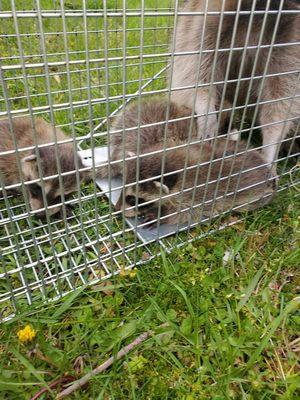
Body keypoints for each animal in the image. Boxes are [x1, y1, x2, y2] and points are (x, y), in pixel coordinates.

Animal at [170, 0, 300, 166]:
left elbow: (280, 101)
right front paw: (206, 112)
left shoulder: (288, 44)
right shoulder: (205, 23)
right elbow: (195, 74)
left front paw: (271, 147)